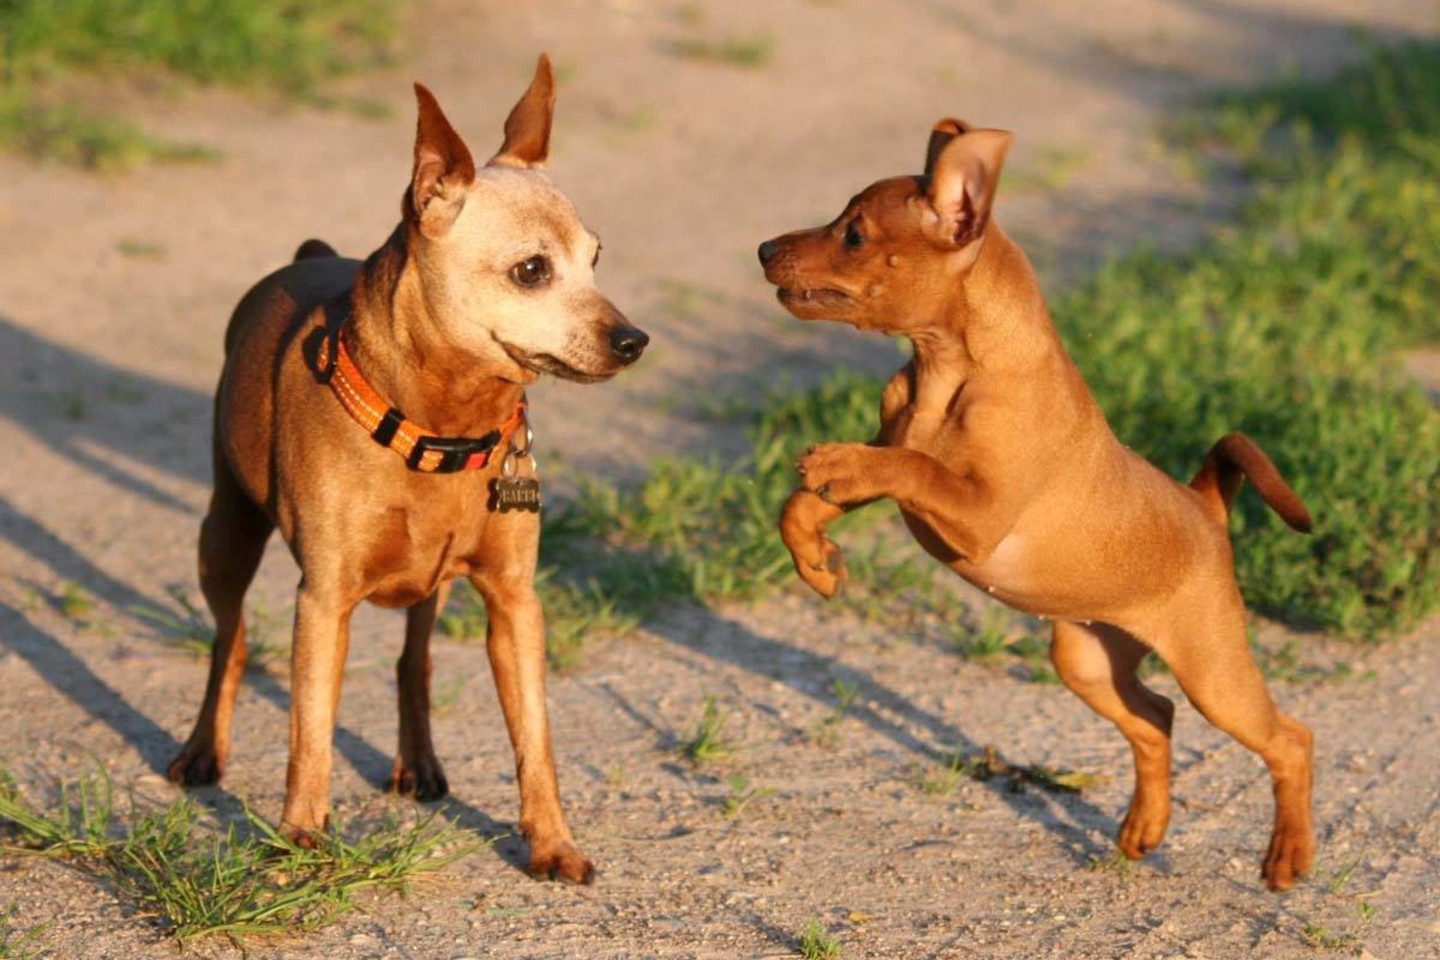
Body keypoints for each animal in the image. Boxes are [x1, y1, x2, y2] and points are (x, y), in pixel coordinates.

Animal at [163, 54, 648, 880]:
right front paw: (301, 837)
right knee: (230, 642)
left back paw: (418, 762)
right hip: (224, 536)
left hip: (432, 585)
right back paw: (202, 752)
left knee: (412, 661)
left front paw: (552, 842)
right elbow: (310, 732)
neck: (443, 427)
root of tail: (305, 258)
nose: (633, 340)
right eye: (531, 270)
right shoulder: (323, 604)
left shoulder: (516, 606)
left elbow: (536, 739)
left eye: (596, 258)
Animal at [766, 120, 1319, 892]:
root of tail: (1204, 506)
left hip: (1213, 673)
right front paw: (817, 562)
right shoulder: (894, 470)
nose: (763, 250)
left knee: (1289, 739)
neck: (946, 371)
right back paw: (1144, 828)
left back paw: (1288, 855)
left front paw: (833, 472)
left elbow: (910, 466)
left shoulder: (975, 515)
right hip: (1085, 657)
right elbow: (810, 501)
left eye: (853, 234)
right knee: (1155, 717)